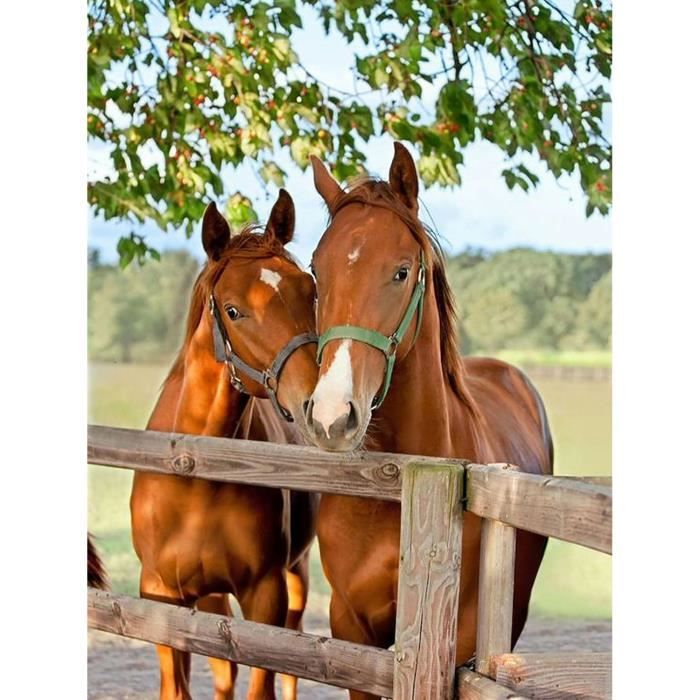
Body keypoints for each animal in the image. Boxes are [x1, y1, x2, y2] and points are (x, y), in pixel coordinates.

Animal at [130, 189, 319, 700]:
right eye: (233, 310)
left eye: (311, 291)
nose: (317, 400)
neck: (197, 474)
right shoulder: (160, 597)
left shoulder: (265, 594)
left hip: (296, 577)